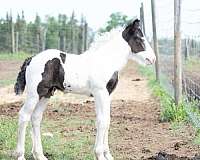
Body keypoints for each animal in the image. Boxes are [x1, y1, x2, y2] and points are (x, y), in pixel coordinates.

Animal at [14, 19, 156, 160]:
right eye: (139, 38)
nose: (153, 58)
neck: (106, 61)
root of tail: (31, 59)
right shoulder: (100, 93)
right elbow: (102, 121)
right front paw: (99, 154)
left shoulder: (107, 95)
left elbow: (106, 120)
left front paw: (107, 154)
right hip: (34, 94)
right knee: (24, 116)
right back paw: (20, 155)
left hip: (46, 94)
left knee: (36, 117)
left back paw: (40, 155)